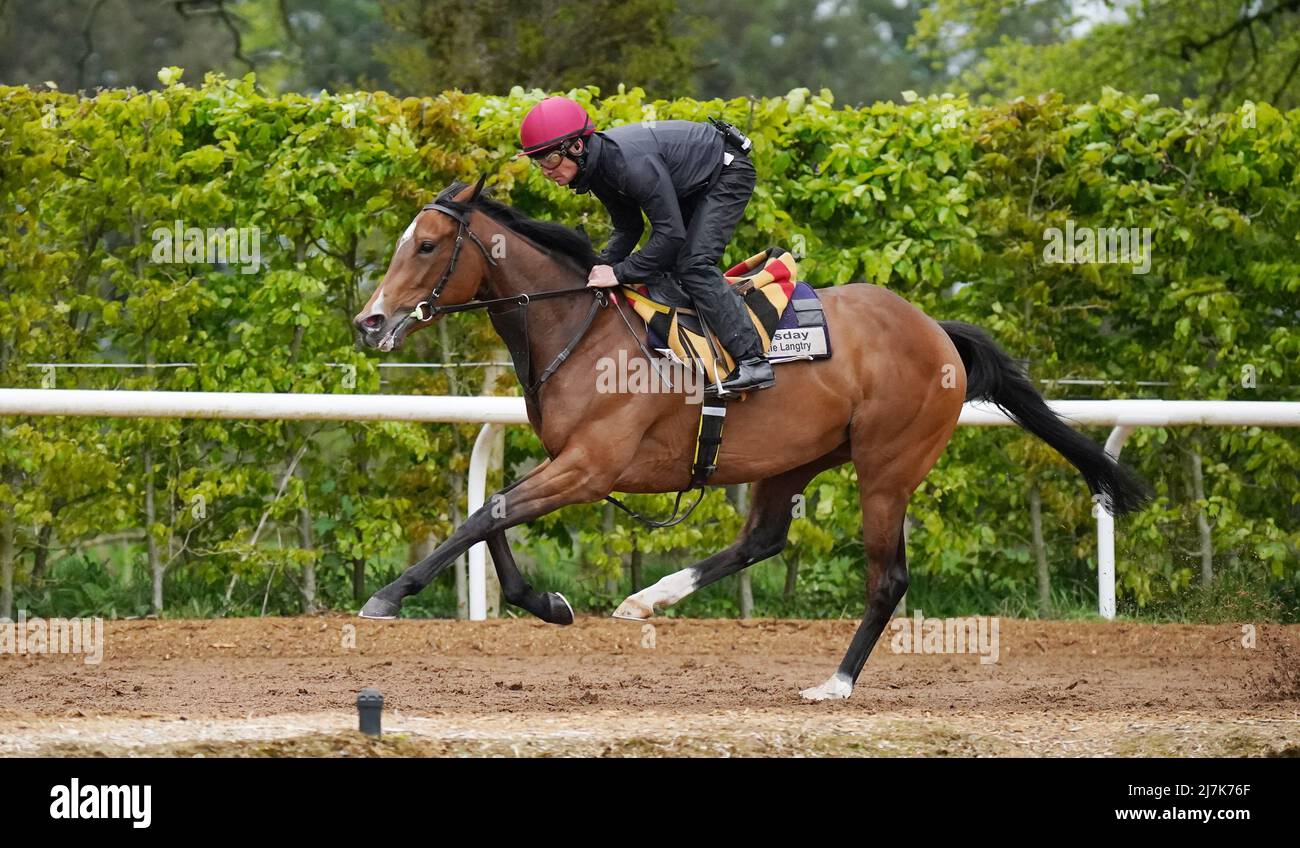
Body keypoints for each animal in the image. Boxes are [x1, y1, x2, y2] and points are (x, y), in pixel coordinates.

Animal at [351, 179, 1144, 702]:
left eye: (426, 245)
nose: (369, 321)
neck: (580, 328)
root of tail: (937, 331)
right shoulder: (567, 461)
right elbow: (493, 516)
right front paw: (548, 603)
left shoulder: (591, 465)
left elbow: (486, 516)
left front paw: (388, 597)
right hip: (794, 458)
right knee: (762, 539)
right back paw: (650, 600)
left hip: (887, 466)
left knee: (887, 578)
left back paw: (835, 683)